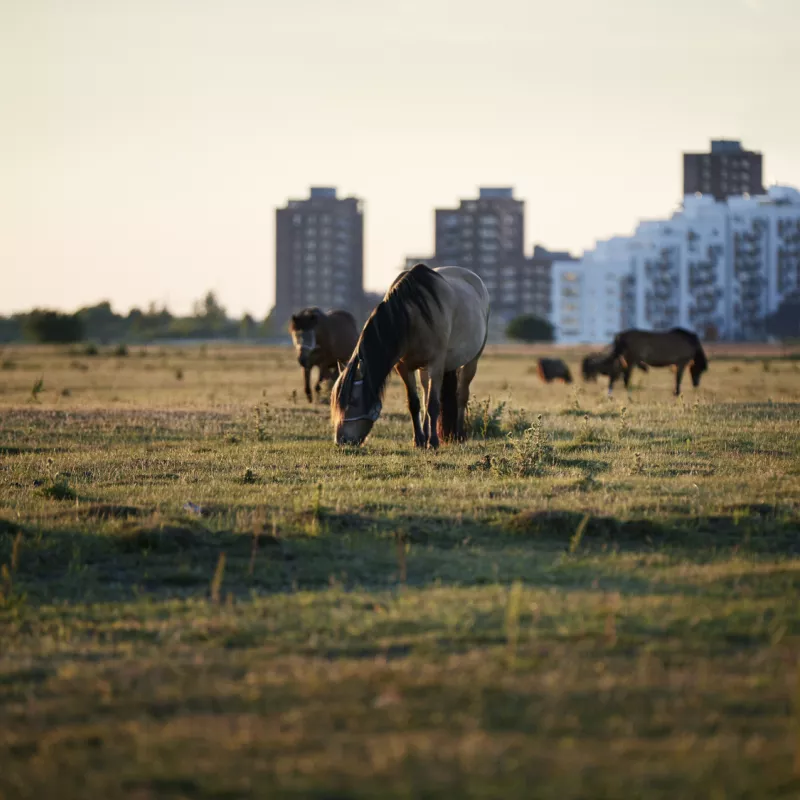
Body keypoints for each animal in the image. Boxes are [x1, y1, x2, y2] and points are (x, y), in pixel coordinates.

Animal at [328, 264, 490, 446]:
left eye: (354, 401)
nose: (340, 440)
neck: (413, 318)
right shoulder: (404, 367)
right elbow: (415, 403)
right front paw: (419, 439)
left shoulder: (436, 365)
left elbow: (433, 404)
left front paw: (433, 441)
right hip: (423, 369)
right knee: (426, 395)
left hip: (471, 361)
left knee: (461, 395)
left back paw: (459, 434)